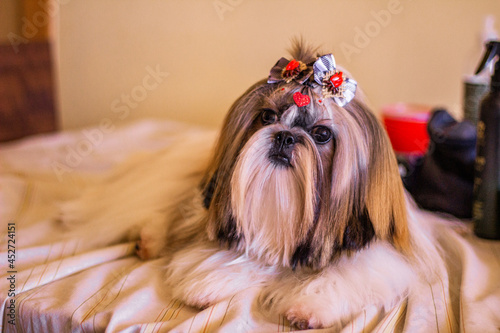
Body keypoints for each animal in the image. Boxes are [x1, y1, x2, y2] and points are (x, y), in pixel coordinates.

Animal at [61, 42, 446, 330]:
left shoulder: (380, 253)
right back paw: (147, 237)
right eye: (267, 117)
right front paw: (208, 283)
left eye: (322, 134)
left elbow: (347, 273)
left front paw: (309, 304)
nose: (285, 136)